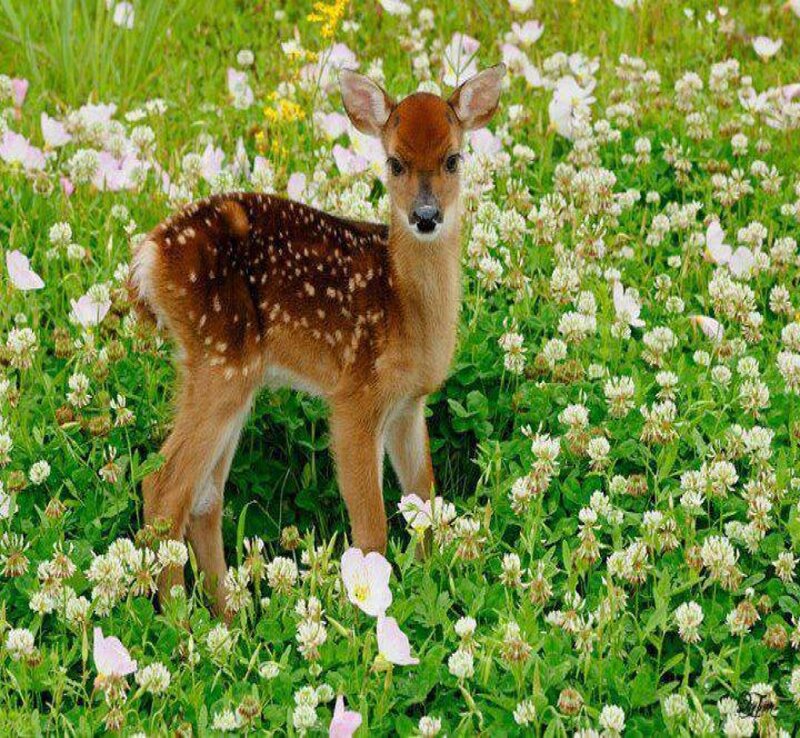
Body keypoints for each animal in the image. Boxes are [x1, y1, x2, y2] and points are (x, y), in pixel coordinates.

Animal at [129, 63, 506, 613]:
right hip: (222, 359)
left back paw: (229, 619)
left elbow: (427, 503)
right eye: (394, 162)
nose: (426, 216)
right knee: (164, 488)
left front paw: (431, 580)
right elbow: (372, 532)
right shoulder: (354, 397)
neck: (403, 309)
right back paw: (181, 622)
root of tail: (149, 258)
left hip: (226, 372)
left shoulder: (408, 404)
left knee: (204, 498)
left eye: (453, 159)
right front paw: (374, 605)